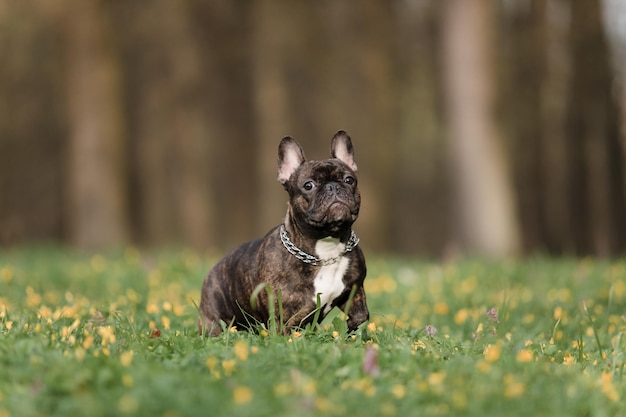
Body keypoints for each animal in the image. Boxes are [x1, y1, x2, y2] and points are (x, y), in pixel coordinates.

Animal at [199, 130, 366, 334]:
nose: (332, 186)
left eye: (349, 180)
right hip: (215, 320)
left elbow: (361, 315)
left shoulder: (356, 289)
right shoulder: (283, 318)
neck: (326, 247)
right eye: (308, 185)